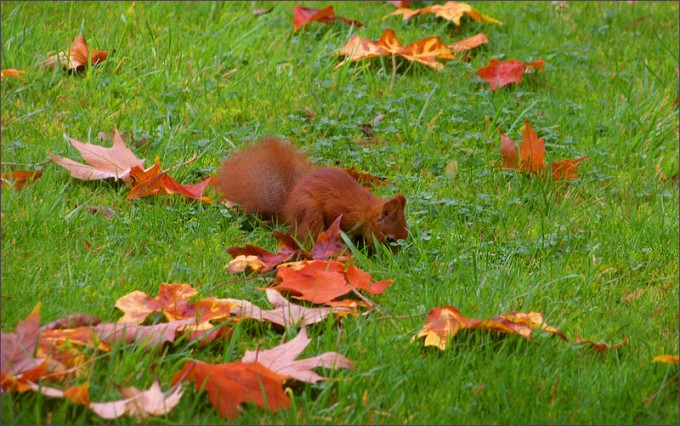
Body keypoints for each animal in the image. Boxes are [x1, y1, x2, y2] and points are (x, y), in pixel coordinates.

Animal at [214, 137, 408, 249]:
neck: (365, 211)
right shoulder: (341, 210)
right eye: (390, 239)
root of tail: (287, 207)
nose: (395, 260)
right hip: (309, 210)